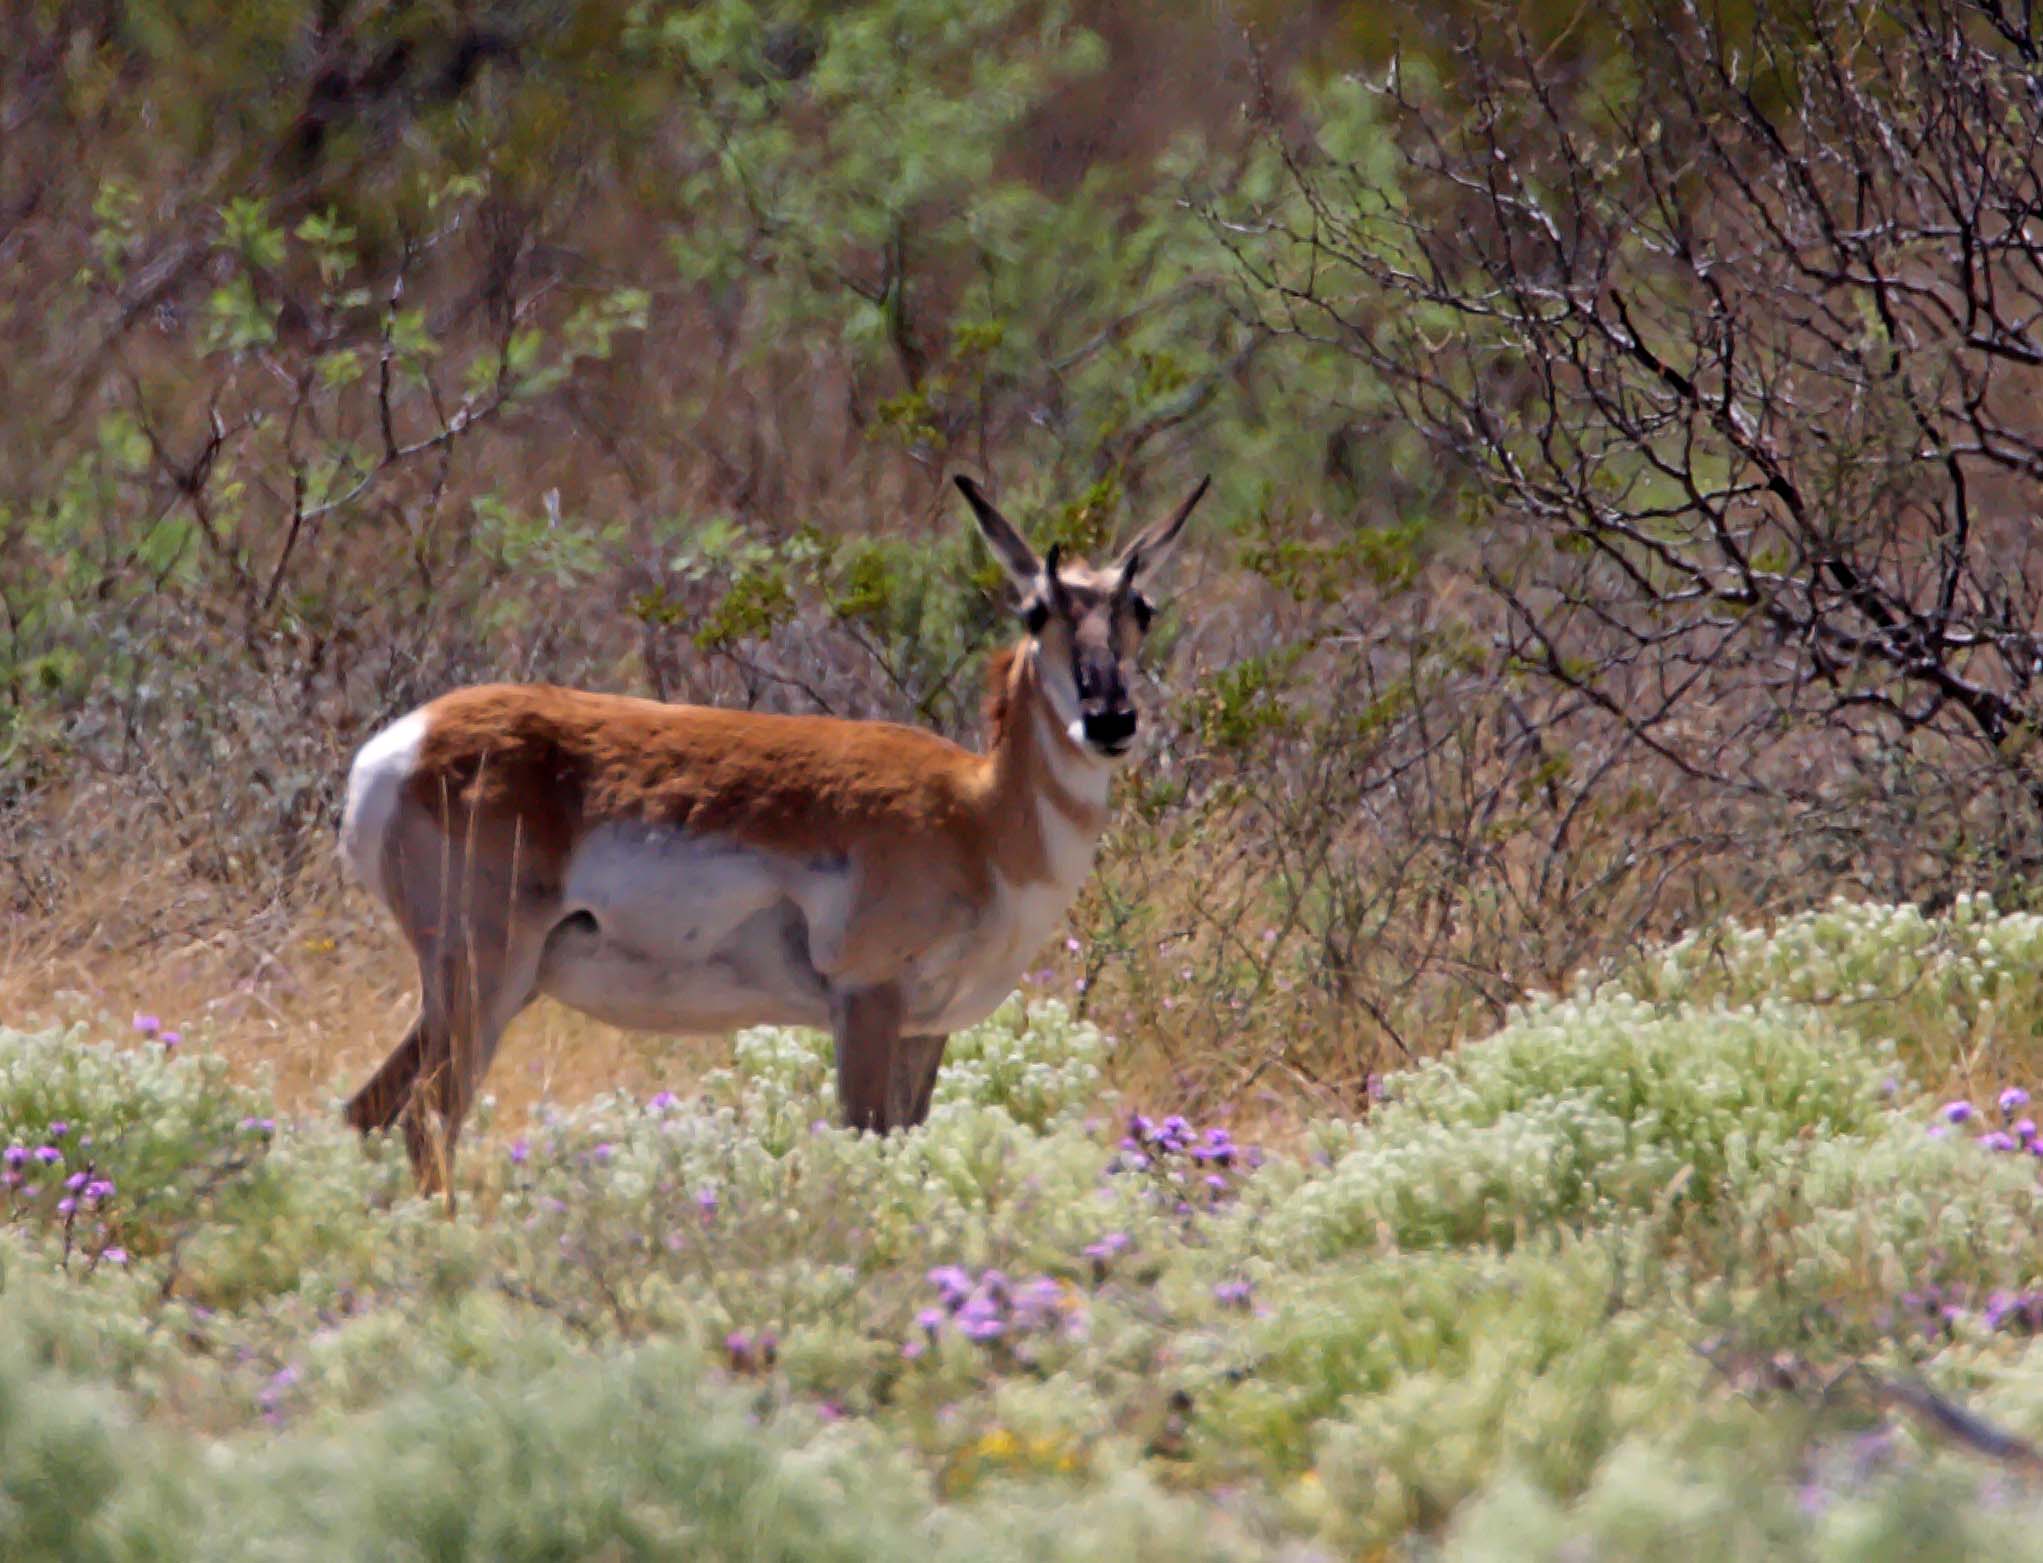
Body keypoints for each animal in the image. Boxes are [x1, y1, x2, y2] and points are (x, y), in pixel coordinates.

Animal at [328, 471, 1201, 1185]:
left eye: (1140, 608)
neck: (975, 814)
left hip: (477, 990)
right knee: (428, 1119)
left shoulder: (927, 1029)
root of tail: (404, 743)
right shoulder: (866, 1003)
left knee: (367, 1110)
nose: (1109, 719)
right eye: (1035, 608)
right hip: (483, 979)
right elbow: (865, 1150)